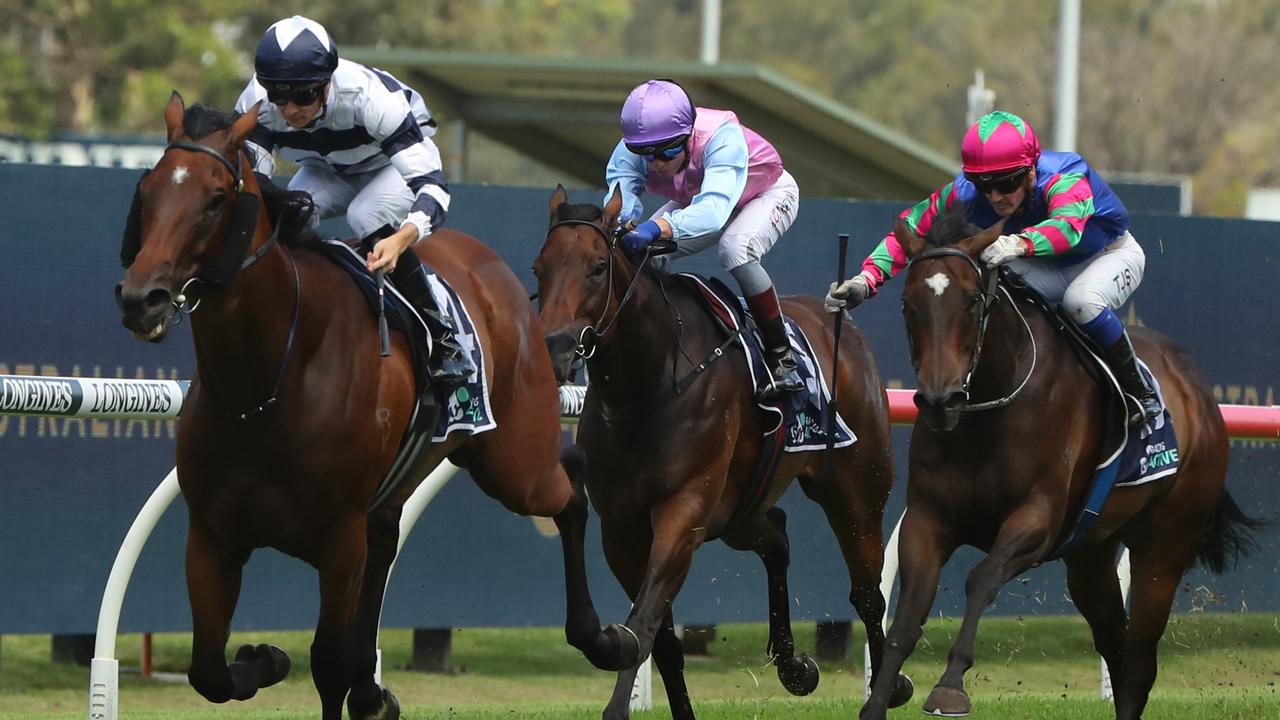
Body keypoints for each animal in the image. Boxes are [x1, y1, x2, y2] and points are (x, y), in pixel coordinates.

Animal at [112, 92, 591, 712]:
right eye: (147, 190)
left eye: (216, 198)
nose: (141, 298)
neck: (268, 382)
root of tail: (495, 269)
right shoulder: (212, 536)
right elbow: (208, 671)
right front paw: (264, 659)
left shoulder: (339, 540)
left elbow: (327, 662)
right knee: (388, 541)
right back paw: (371, 690)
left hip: (516, 464)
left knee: (571, 492)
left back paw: (605, 638)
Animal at [535, 185, 916, 717]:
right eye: (539, 269)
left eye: (596, 267)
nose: (554, 350)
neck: (650, 386)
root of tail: (840, 324)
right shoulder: (621, 528)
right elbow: (657, 637)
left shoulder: (684, 512)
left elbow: (643, 623)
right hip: (739, 510)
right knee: (776, 538)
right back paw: (794, 666)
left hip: (857, 491)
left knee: (866, 593)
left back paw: (886, 687)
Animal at [860, 210, 1259, 712]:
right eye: (907, 303)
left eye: (971, 300)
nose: (938, 400)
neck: (987, 411)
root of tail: (1200, 393)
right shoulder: (928, 520)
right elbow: (907, 616)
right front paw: (879, 699)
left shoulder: (1037, 520)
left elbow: (981, 578)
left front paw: (950, 686)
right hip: (1090, 557)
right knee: (1116, 649)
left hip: (1166, 546)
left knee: (1139, 663)